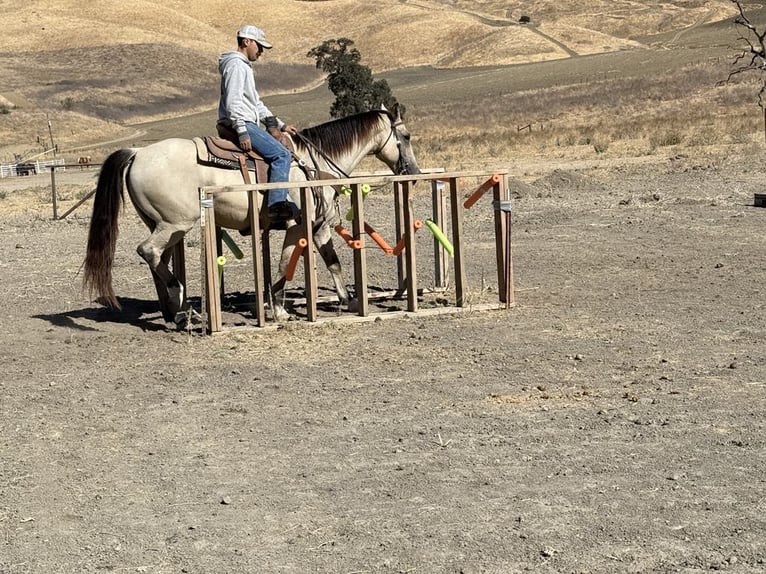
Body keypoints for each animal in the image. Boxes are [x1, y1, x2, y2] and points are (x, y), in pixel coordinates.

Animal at [82, 104, 421, 326]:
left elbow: (324, 262)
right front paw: (283, 309)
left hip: (162, 224)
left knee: (158, 260)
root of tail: (137, 153)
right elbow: (292, 264)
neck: (314, 164)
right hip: (175, 223)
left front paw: (344, 301)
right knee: (148, 251)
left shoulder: (313, 228)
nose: (415, 173)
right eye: (405, 137)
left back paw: (173, 311)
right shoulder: (302, 227)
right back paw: (181, 302)